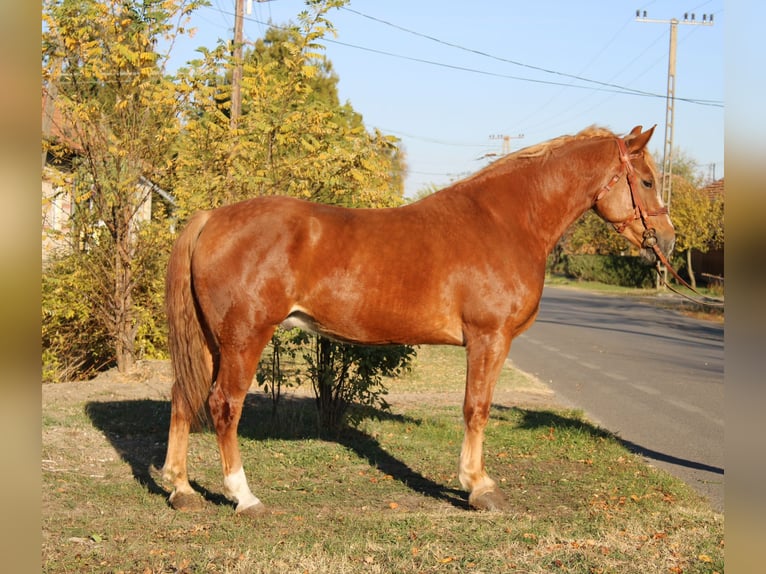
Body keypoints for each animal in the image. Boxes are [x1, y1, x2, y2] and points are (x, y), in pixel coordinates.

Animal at [161, 125, 674, 516]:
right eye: (647, 181)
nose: (667, 241)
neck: (506, 221)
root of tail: (211, 218)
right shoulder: (490, 338)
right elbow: (476, 408)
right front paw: (478, 487)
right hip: (244, 337)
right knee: (224, 405)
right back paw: (244, 496)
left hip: (210, 341)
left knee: (184, 398)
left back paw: (181, 489)